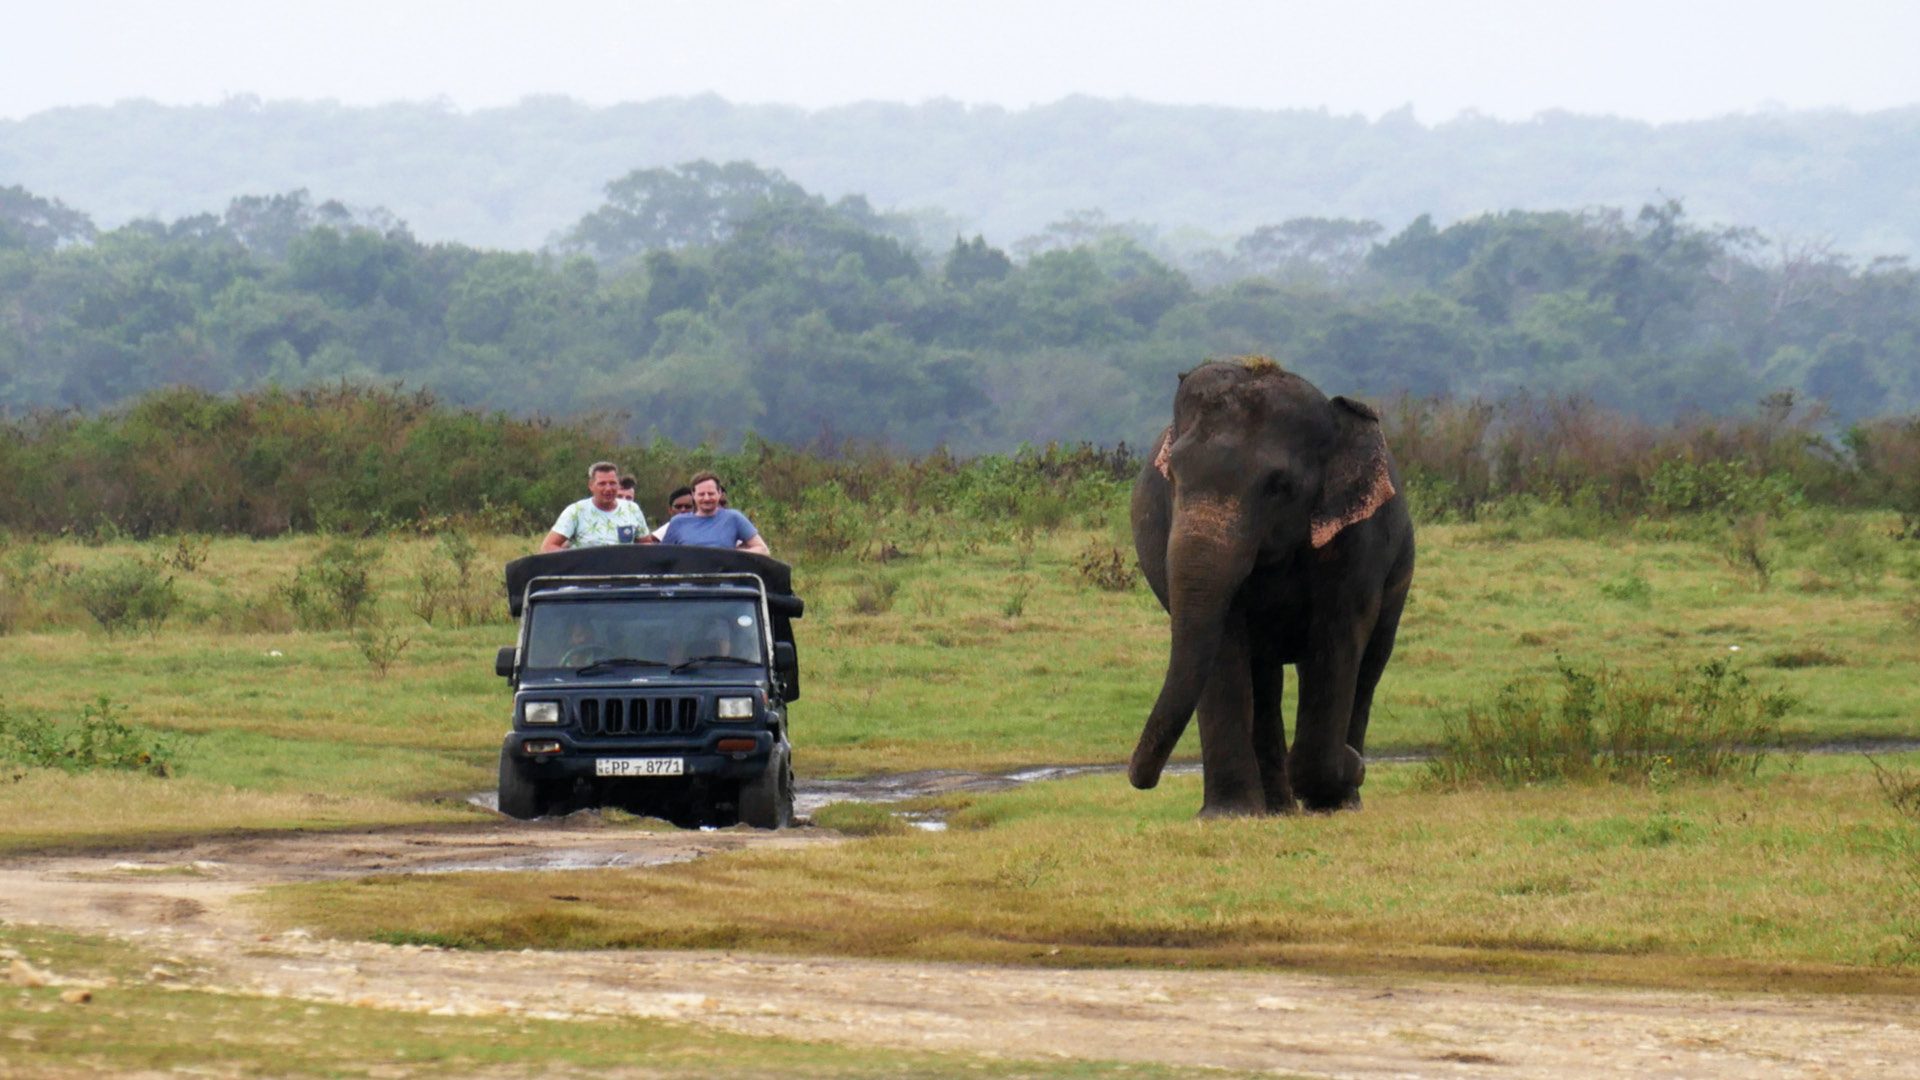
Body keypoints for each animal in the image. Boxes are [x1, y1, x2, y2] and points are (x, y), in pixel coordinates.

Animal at [1121, 357, 1413, 810]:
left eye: (1280, 487)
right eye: (1173, 476)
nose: (1137, 778)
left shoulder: (1358, 541)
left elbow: (1336, 640)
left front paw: (1339, 777)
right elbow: (1224, 644)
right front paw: (1230, 815)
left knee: (1368, 668)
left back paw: (1340, 797)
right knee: (1264, 677)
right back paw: (1278, 808)